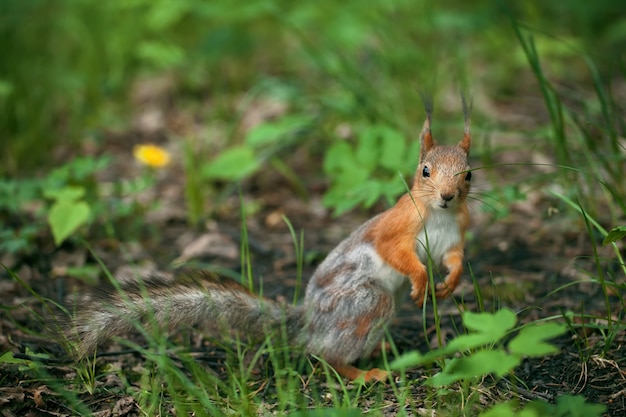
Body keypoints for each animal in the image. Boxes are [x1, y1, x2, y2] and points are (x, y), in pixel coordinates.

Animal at [68, 96, 470, 382]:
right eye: (425, 171)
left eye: (468, 175)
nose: (447, 196)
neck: (439, 215)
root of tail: (309, 321)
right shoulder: (397, 225)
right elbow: (393, 250)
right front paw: (421, 279)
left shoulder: (456, 235)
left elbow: (454, 258)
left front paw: (450, 283)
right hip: (366, 302)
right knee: (327, 354)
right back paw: (362, 372)